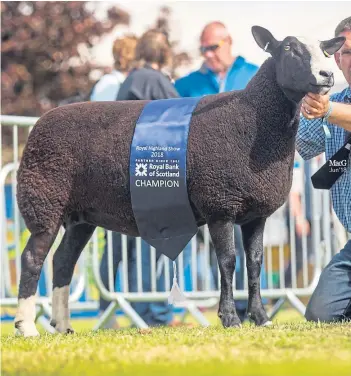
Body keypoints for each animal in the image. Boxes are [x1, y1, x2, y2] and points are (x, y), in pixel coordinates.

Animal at [14, 27, 346, 336]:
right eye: (288, 48)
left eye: (324, 51)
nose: (327, 75)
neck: (253, 120)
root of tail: (39, 124)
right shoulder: (219, 204)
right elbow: (227, 262)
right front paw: (230, 318)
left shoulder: (255, 213)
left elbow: (255, 263)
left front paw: (261, 318)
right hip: (44, 199)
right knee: (32, 257)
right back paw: (26, 326)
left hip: (79, 215)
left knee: (62, 261)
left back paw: (62, 326)